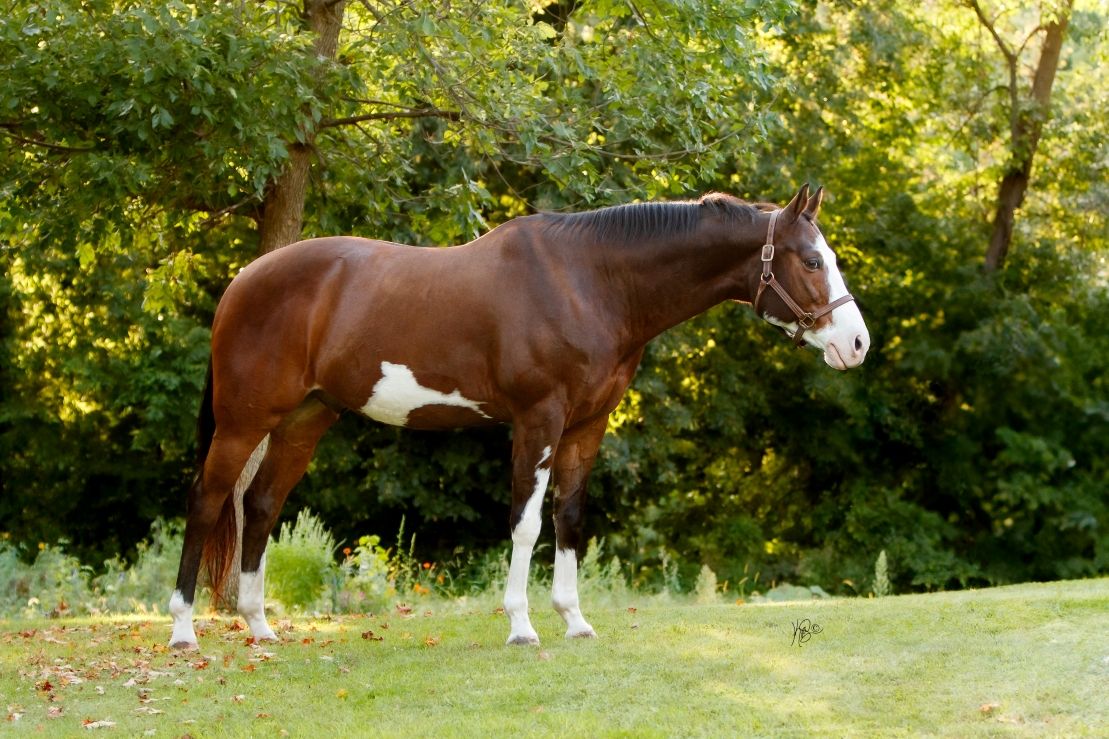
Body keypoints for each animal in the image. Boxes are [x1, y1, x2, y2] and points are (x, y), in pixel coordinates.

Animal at [168, 184, 871, 649]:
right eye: (812, 260)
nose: (857, 343)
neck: (590, 282)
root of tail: (242, 280)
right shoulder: (539, 420)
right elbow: (526, 524)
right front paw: (523, 626)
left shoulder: (588, 425)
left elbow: (569, 519)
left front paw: (575, 620)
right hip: (243, 421)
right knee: (208, 500)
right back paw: (183, 632)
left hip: (305, 419)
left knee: (260, 504)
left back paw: (261, 626)